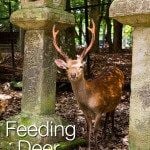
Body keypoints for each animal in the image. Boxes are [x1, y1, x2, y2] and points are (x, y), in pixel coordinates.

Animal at [52, 20, 124, 150]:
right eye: (67, 68)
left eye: (81, 66)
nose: (73, 74)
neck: (87, 100)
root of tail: (116, 68)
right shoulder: (84, 111)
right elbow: (88, 129)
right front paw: (89, 146)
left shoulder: (99, 109)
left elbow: (95, 130)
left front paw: (97, 146)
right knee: (108, 113)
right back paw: (105, 133)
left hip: (117, 100)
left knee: (112, 113)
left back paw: (112, 133)